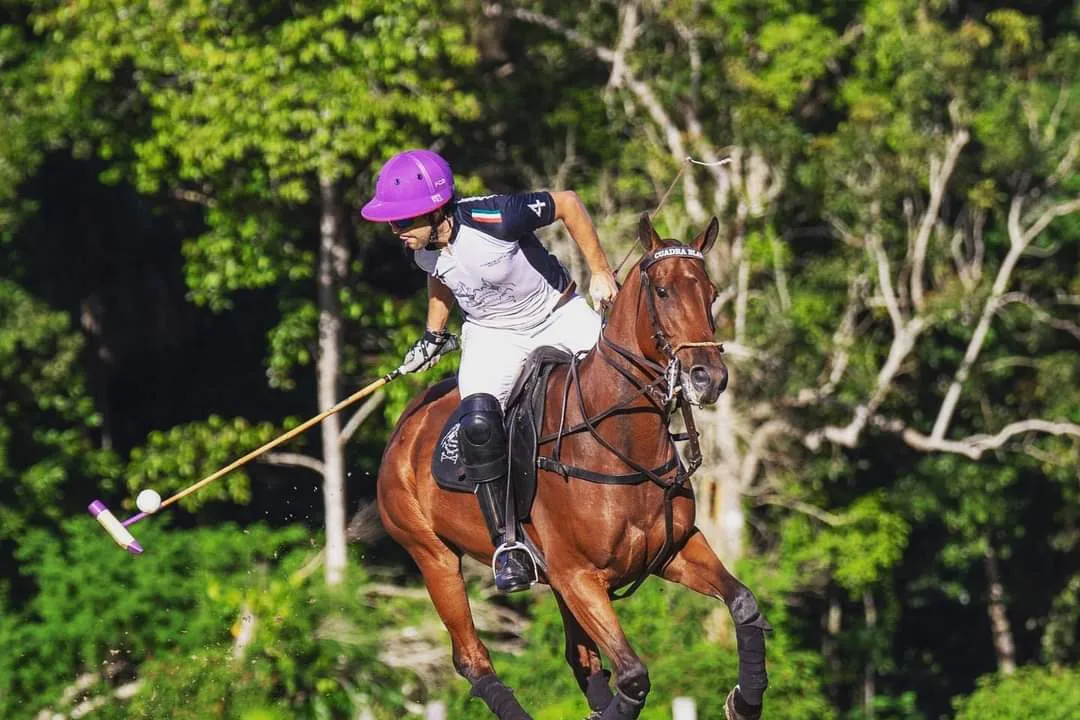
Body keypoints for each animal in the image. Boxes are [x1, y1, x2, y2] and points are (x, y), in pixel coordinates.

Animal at [375, 215, 773, 720]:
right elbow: (633, 675)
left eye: (712, 291)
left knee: (579, 657)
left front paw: (744, 700)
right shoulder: (578, 576)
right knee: (472, 658)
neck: (621, 442)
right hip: (432, 554)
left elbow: (743, 602)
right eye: (662, 291)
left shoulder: (675, 549)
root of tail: (405, 424)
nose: (709, 377)